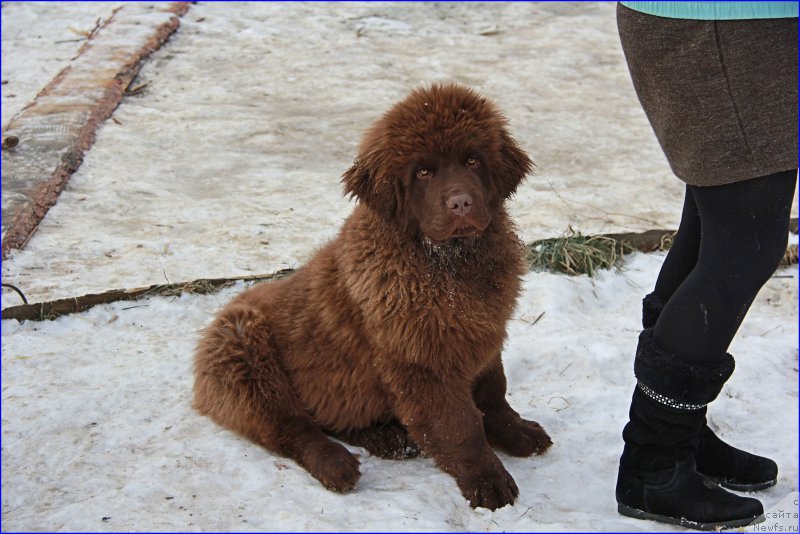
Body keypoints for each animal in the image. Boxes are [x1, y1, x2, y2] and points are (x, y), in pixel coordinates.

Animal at [195, 84, 552, 510]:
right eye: (423, 172)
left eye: (473, 160)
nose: (461, 203)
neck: (449, 266)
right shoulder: (420, 362)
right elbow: (459, 424)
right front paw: (488, 481)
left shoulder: (483, 335)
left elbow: (494, 392)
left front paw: (518, 432)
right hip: (244, 356)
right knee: (292, 427)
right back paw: (337, 464)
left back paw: (388, 438)